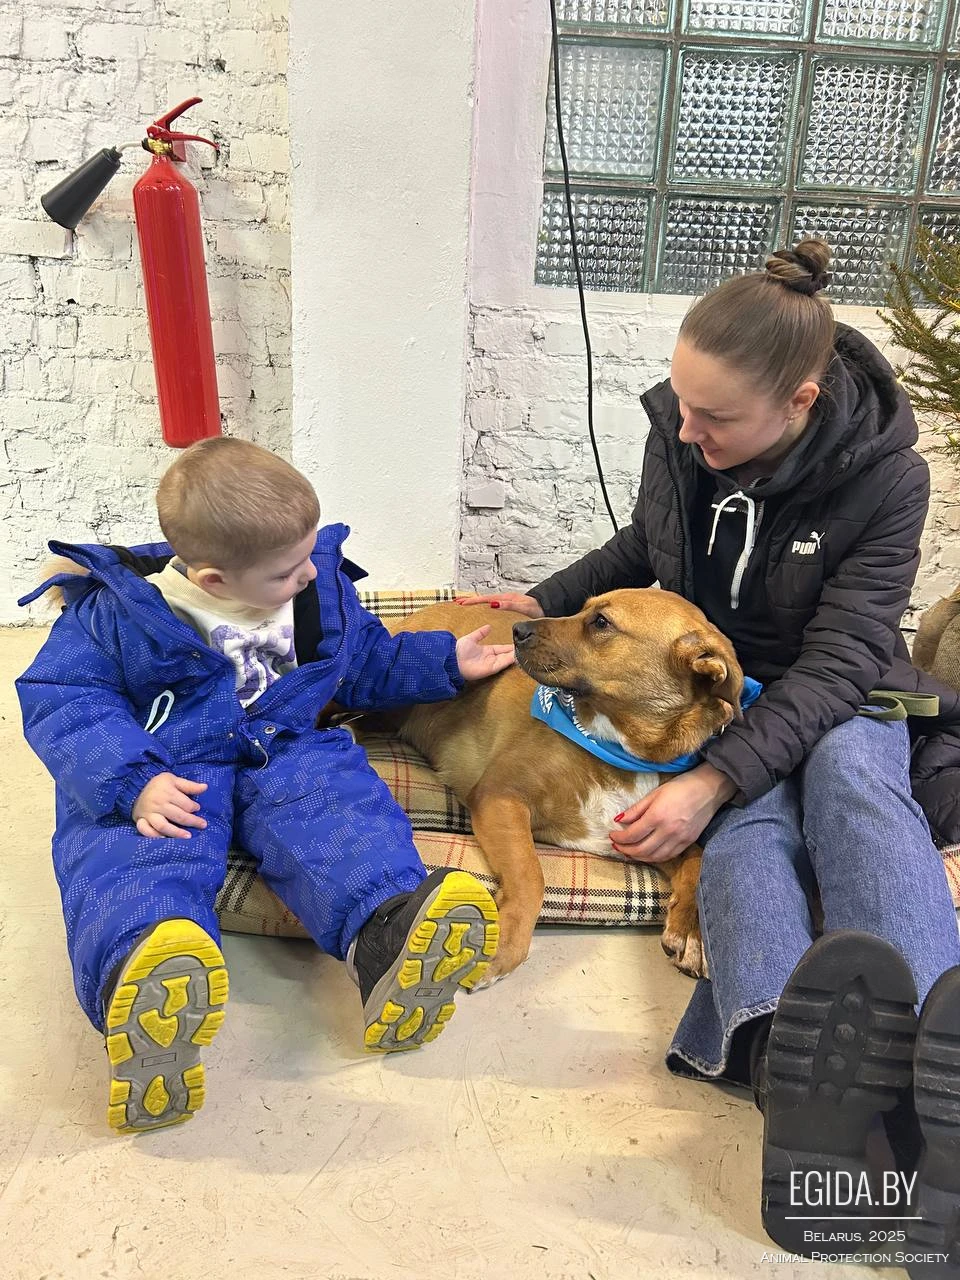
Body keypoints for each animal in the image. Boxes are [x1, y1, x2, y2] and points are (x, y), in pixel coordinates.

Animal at [361, 589, 745, 984]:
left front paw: (692, 930)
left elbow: (697, 858)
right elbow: (531, 873)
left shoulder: (647, 837)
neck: (622, 749)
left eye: (601, 622)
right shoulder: (500, 795)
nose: (517, 630)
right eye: (583, 608)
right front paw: (504, 940)